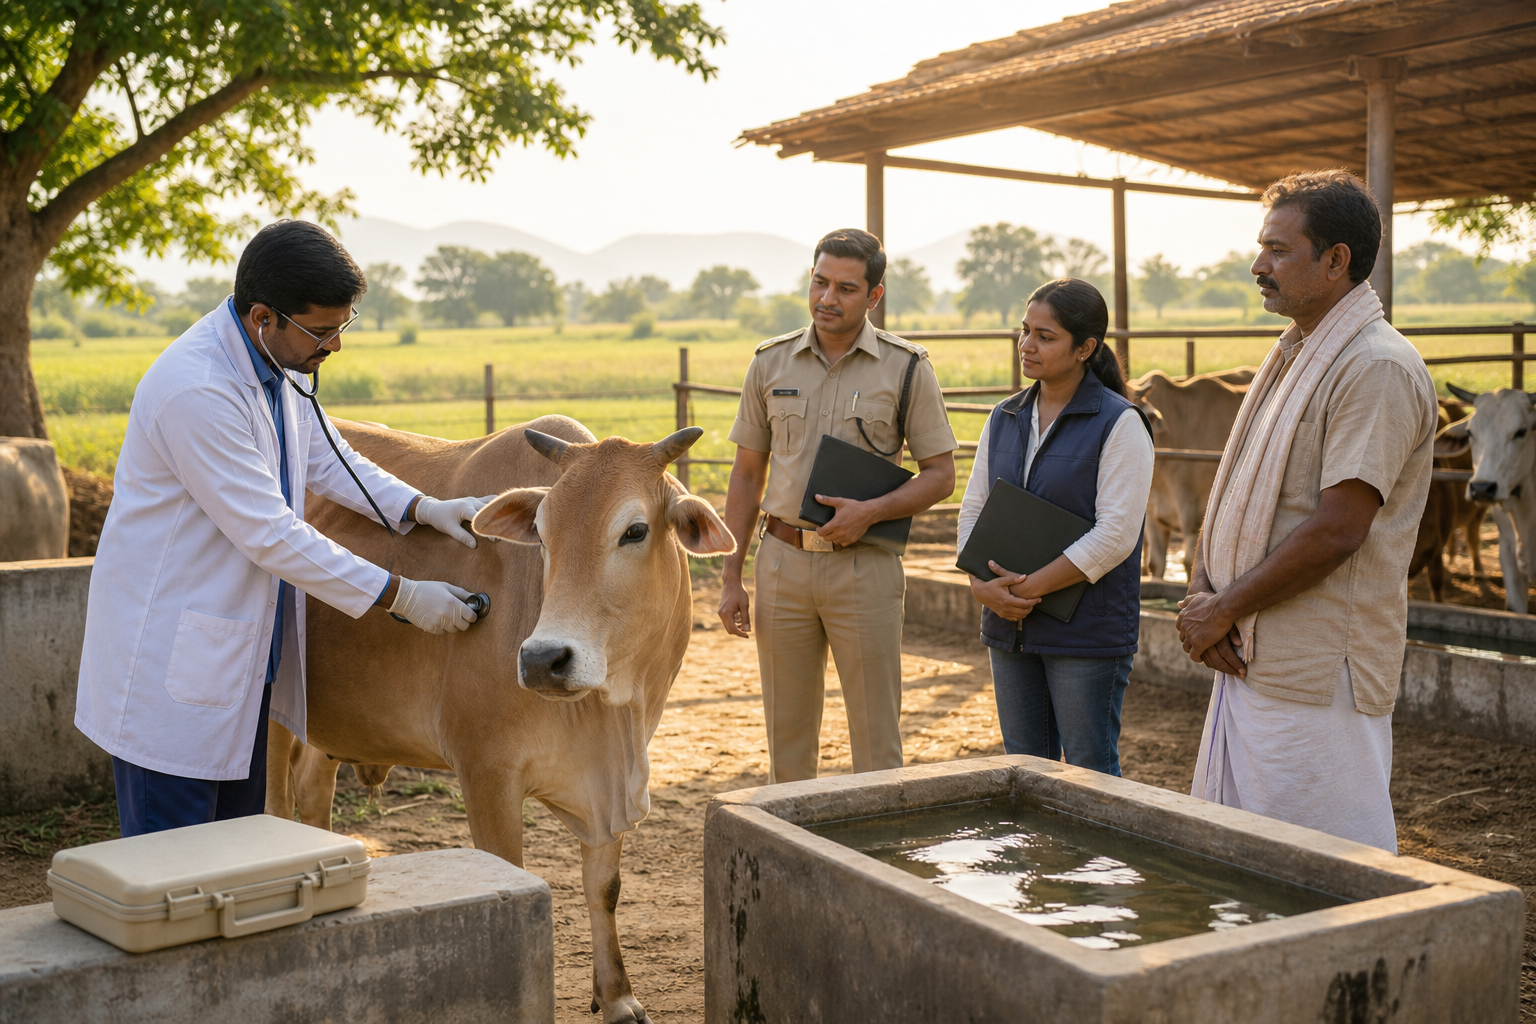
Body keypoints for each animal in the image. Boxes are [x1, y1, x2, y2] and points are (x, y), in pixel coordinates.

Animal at [266, 414, 734, 1024]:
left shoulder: (613, 782)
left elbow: (603, 886)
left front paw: (616, 996)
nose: (542, 659)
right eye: (542, 531)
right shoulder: (486, 772)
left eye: (635, 530)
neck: (607, 712)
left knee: (312, 790)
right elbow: (511, 872)